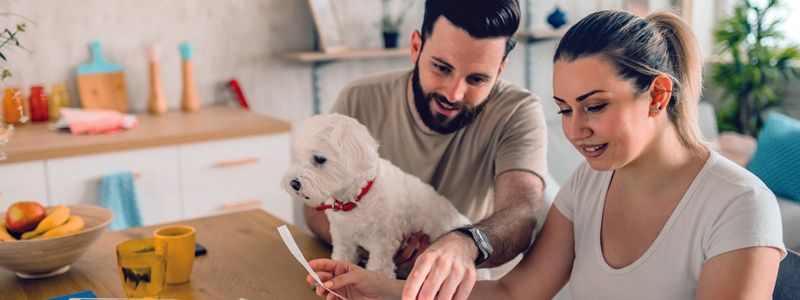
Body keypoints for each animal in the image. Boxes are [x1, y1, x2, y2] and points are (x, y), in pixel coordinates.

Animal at [282, 113, 472, 278]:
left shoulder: (382, 246)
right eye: (297, 157)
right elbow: (342, 257)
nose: (294, 183)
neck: (356, 200)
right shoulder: (343, 238)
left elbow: (378, 271)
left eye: (319, 159)